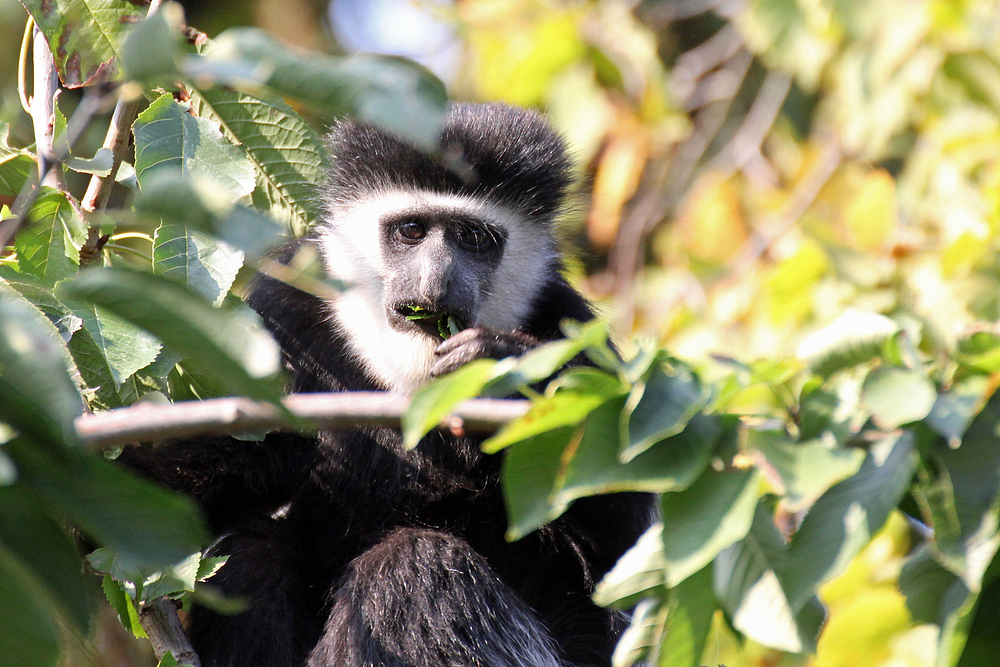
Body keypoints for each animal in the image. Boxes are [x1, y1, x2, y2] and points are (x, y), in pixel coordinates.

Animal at [119, 102, 656, 664]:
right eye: (411, 230)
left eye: (473, 238)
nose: (435, 281)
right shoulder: (281, 319)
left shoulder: (574, 333)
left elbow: (620, 581)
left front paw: (503, 374)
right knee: (252, 551)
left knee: (416, 567)